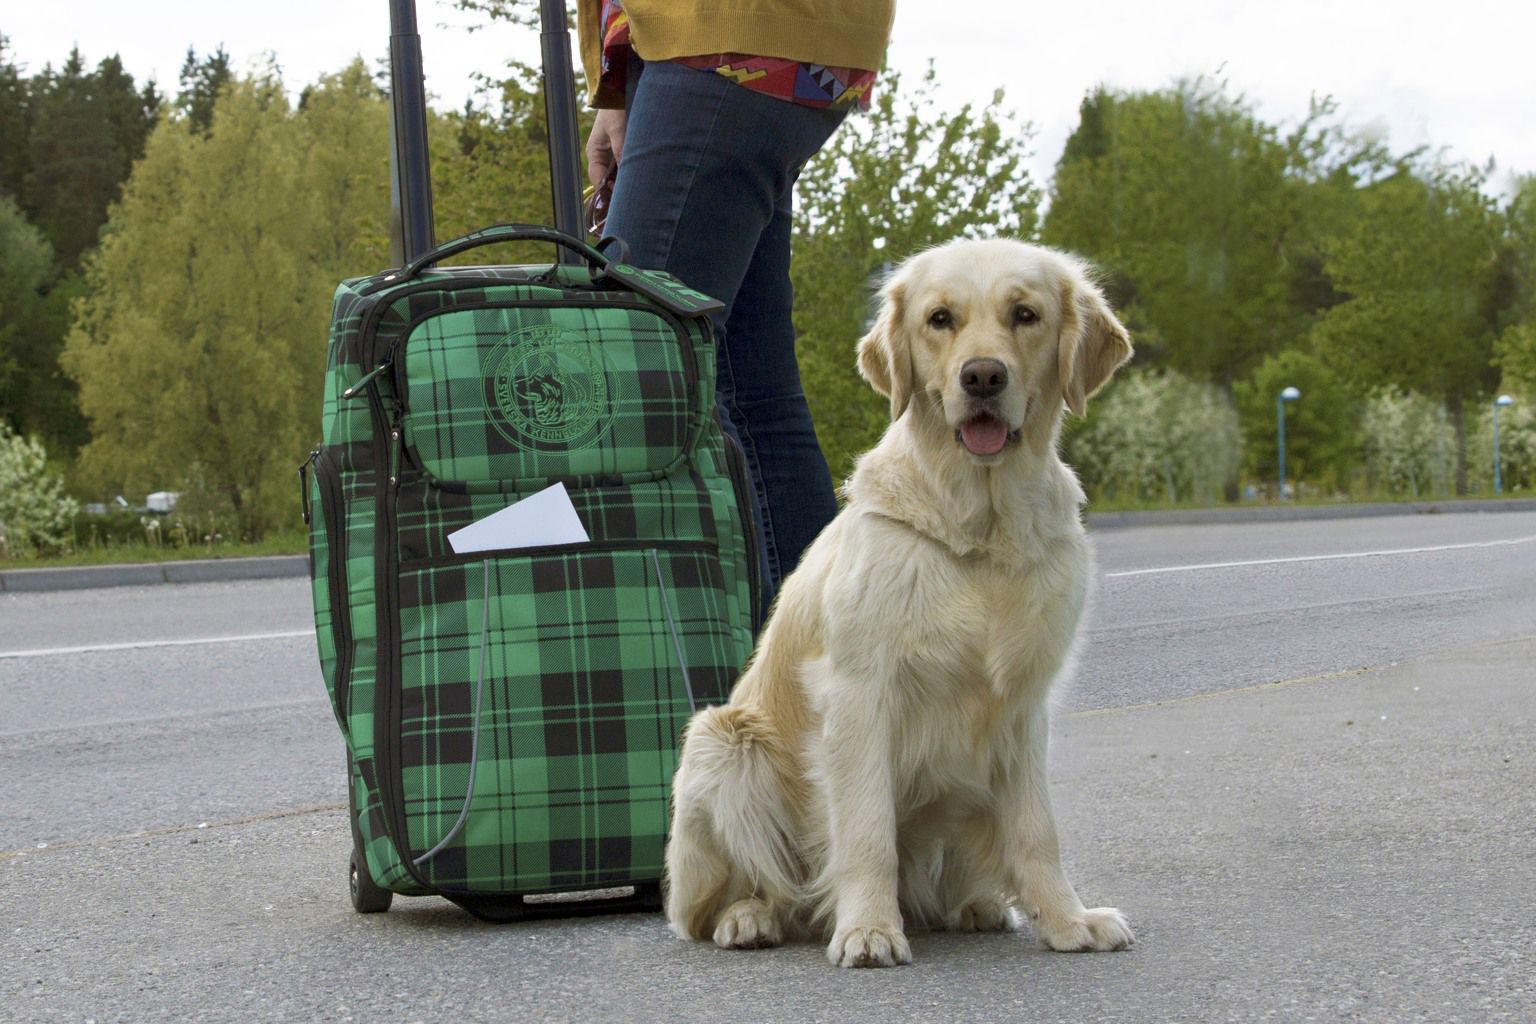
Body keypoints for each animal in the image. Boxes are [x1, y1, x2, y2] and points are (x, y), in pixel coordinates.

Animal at [666, 236, 1136, 964]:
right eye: (939, 319)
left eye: (1025, 315)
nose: (982, 377)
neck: (979, 530)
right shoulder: (860, 692)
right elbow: (866, 830)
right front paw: (867, 929)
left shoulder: (1022, 704)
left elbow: (1037, 832)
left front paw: (1069, 920)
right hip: (723, 741)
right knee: (721, 902)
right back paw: (749, 918)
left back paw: (974, 906)